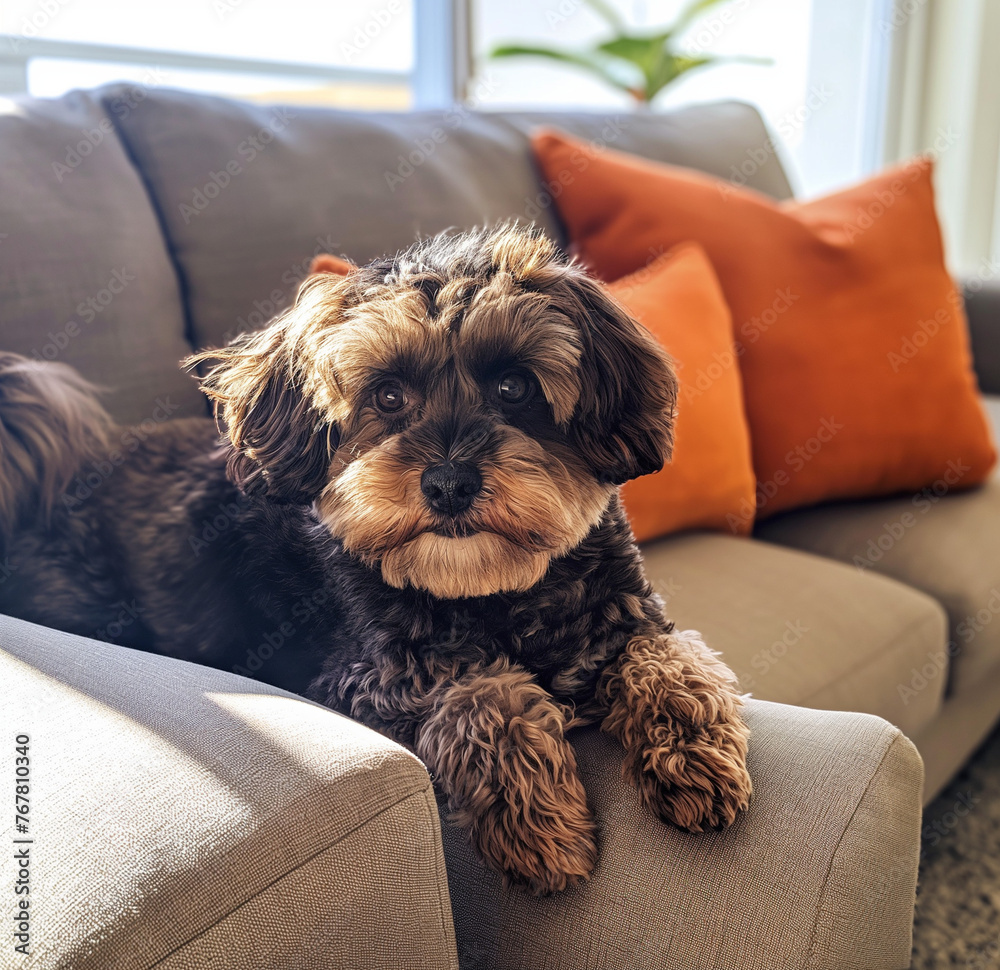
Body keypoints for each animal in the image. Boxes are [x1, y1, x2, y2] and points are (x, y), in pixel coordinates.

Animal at [0, 223, 752, 888]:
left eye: (513, 387)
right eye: (388, 396)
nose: (449, 482)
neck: (491, 594)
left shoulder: (628, 619)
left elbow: (671, 658)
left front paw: (694, 753)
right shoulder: (361, 678)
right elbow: (480, 694)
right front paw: (537, 819)